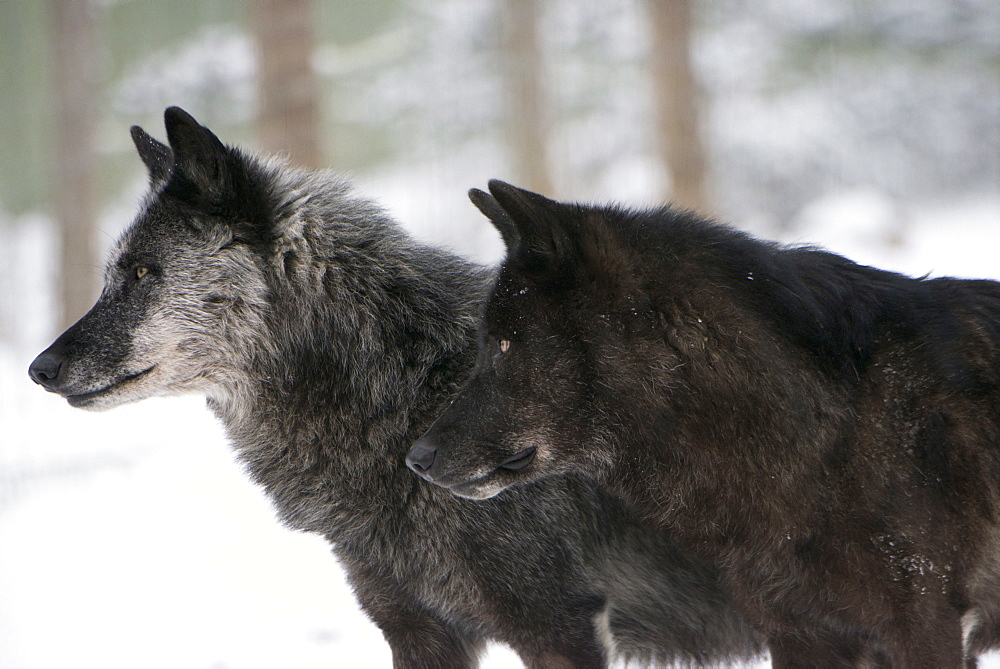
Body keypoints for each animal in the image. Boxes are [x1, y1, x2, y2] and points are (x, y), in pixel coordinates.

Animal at [27, 111, 756, 668]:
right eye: (115, 272)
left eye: (144, 273)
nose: (39, 368)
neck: (409, 393)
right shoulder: (417, 630)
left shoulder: (557, 624)